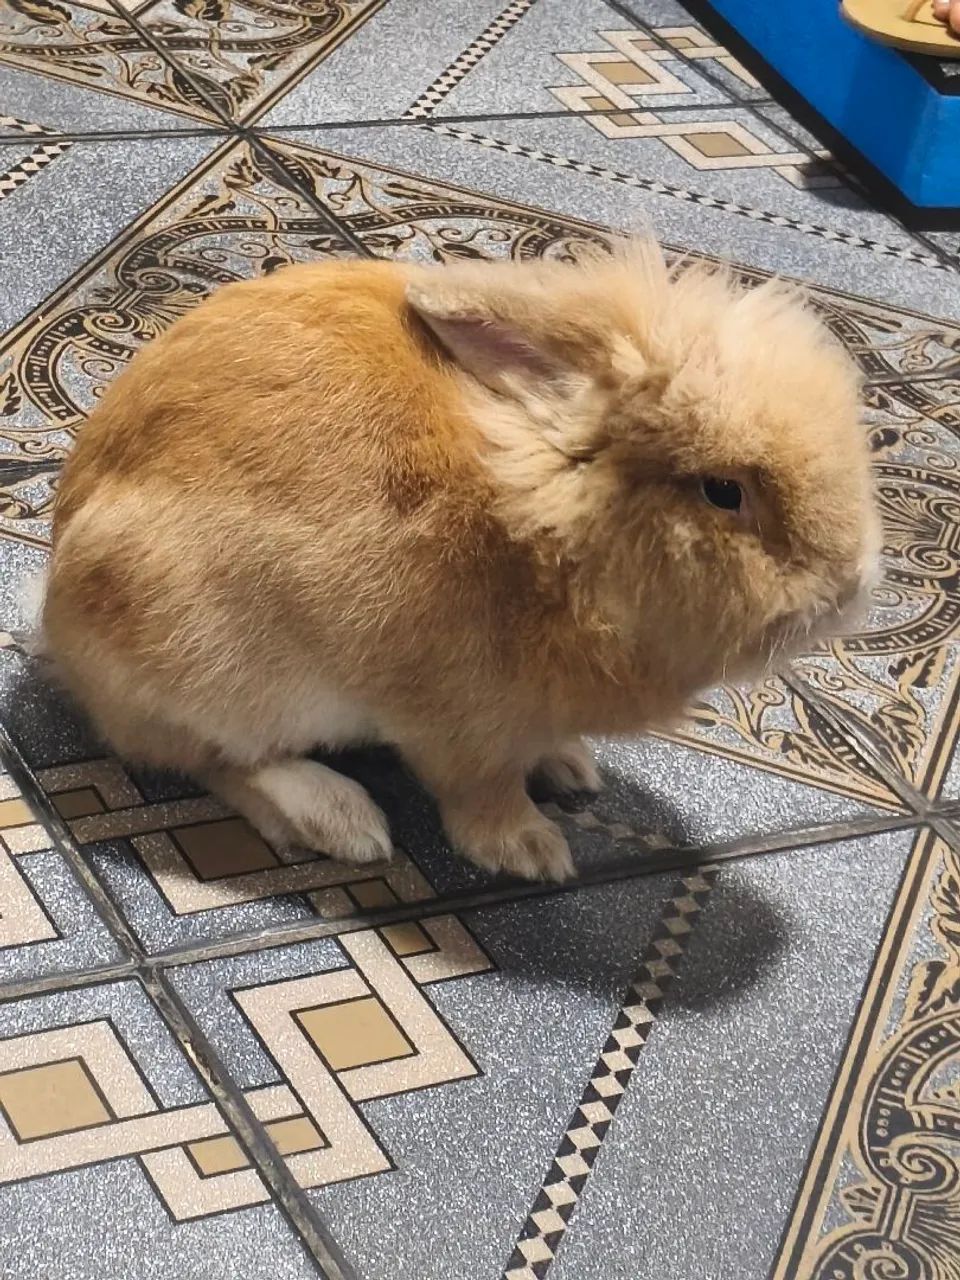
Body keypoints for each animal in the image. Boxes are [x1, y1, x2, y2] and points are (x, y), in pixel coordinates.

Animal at [39, 240, 880, 883]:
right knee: (215, 760)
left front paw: (571, 768)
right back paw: (342, 821)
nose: (850, 588)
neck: (551, 539)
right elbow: (481, 791)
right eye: (723, 490)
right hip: (207, 661)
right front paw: (533, 852)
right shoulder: (462, 721)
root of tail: (53, 618)